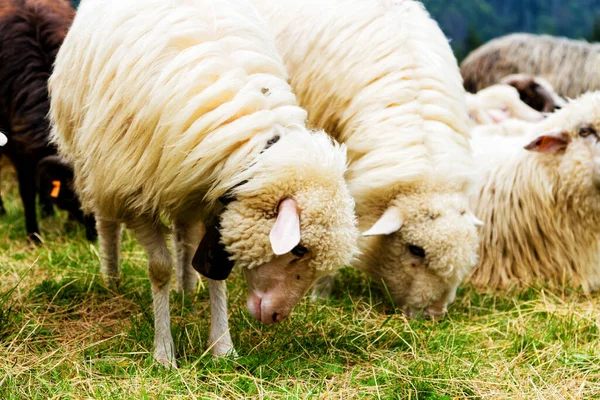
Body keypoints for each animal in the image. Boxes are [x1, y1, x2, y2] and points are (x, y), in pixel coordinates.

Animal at [49, 0, 356, 366]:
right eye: (299, 249)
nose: (277, 316)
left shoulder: (216, 197)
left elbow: (215, 271)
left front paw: (222, 346)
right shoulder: (134, 190)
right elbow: (159, 269)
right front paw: (164, 352)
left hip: (184, 185)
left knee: (184, 232)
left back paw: (186, 286)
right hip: (97, 162)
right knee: (108, 222)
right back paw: (112, 279)